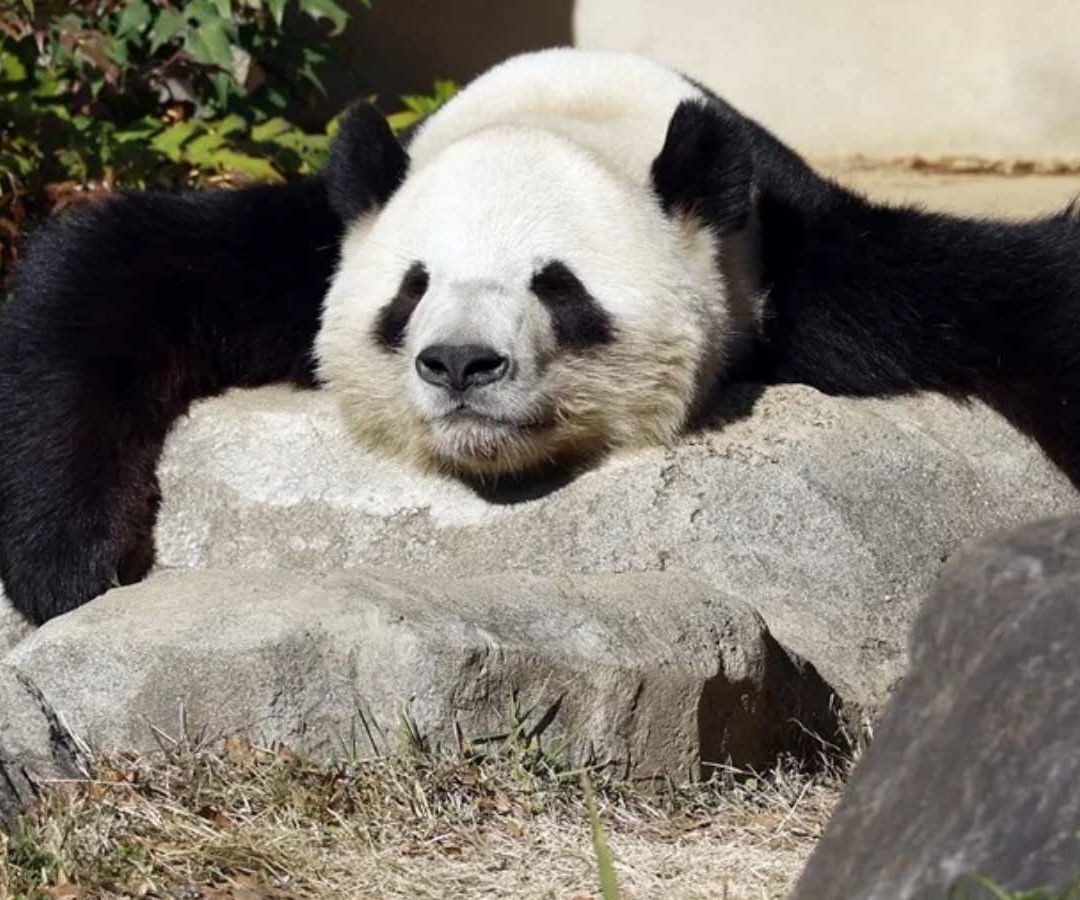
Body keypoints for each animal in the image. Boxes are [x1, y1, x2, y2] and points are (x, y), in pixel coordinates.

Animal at [1, 47, 1079, 625]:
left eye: (558, 288)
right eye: (412, 289)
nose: (460, 364)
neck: (574, 109)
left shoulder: (789, 255)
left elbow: (997, 290)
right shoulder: (315, 243)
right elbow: (112, 265)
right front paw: (63, 558)